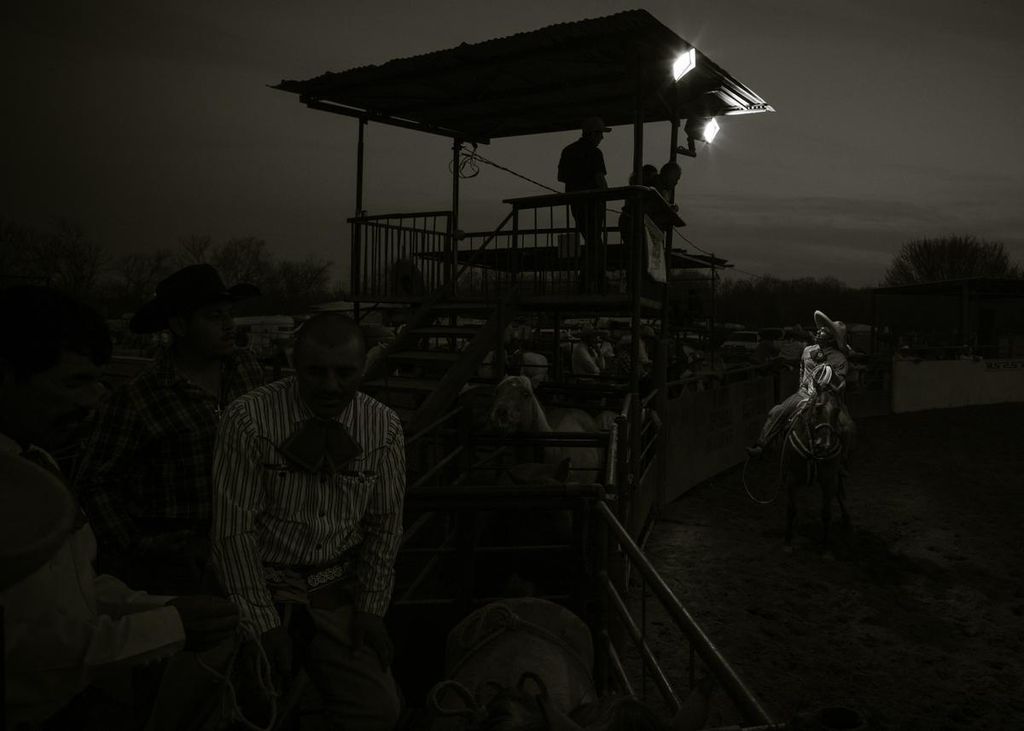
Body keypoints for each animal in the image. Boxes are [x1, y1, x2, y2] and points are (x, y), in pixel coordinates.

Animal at [782, 376, 847, 552]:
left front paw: (824, 546)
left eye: (837, 411)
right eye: (818, 409)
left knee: (841, 493)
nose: (824, 444)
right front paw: (788, 541)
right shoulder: (791, 478)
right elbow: (791, 509)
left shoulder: (829, 480)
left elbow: (826, 513)